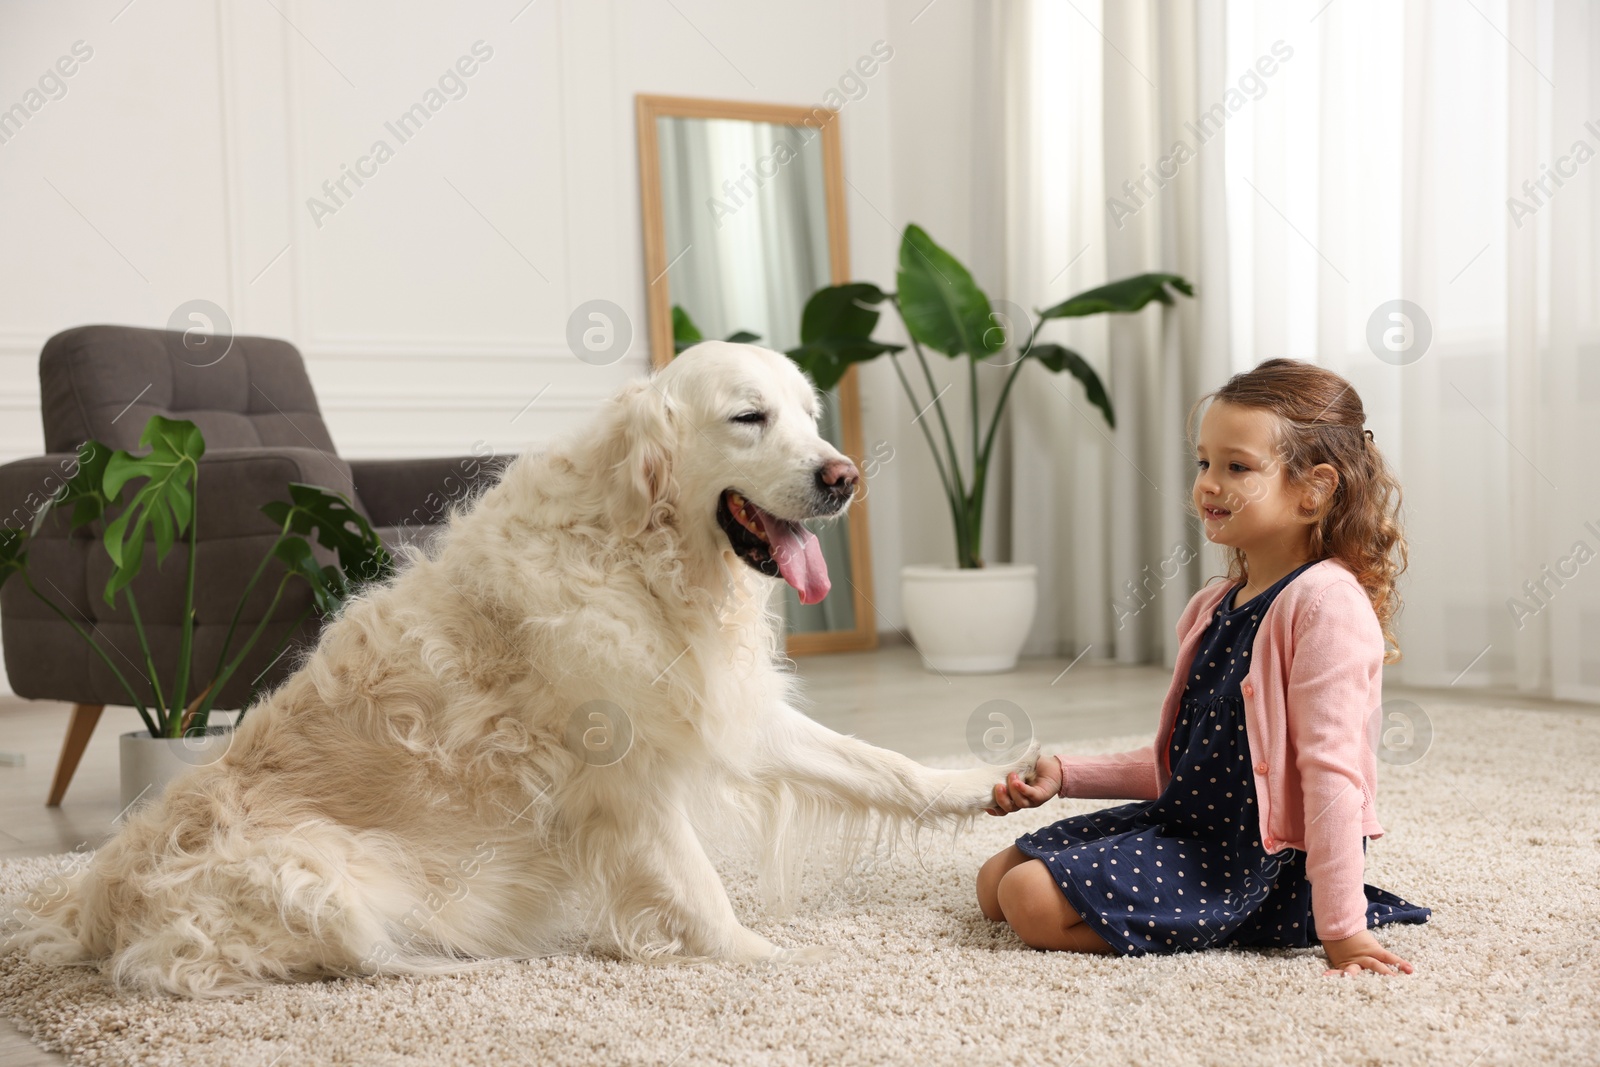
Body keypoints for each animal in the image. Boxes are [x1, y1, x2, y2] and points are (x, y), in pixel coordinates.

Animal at [6, 343, 1030, 1004]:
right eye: (751, 418)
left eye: (812, 418)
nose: (844, 476)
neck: (638, 554)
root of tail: (97, 899)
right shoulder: (624, 784)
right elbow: (700, 889)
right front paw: (769, 959)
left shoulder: (722, 709)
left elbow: (879, 764)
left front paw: (986, 783)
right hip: (323, 876)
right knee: (336, 960)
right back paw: (476, 958)